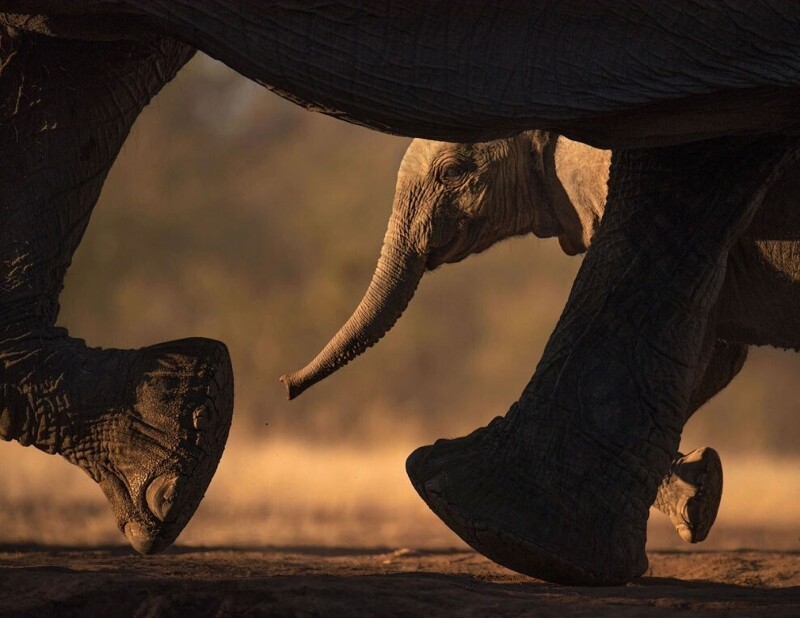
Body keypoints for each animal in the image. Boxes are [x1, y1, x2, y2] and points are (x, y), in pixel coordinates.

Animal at [280, 131, 800, 544]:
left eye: (452, 172)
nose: (285, 385)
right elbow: (716, 357)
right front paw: (697, 497)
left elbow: (704, 349)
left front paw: (695, 498)